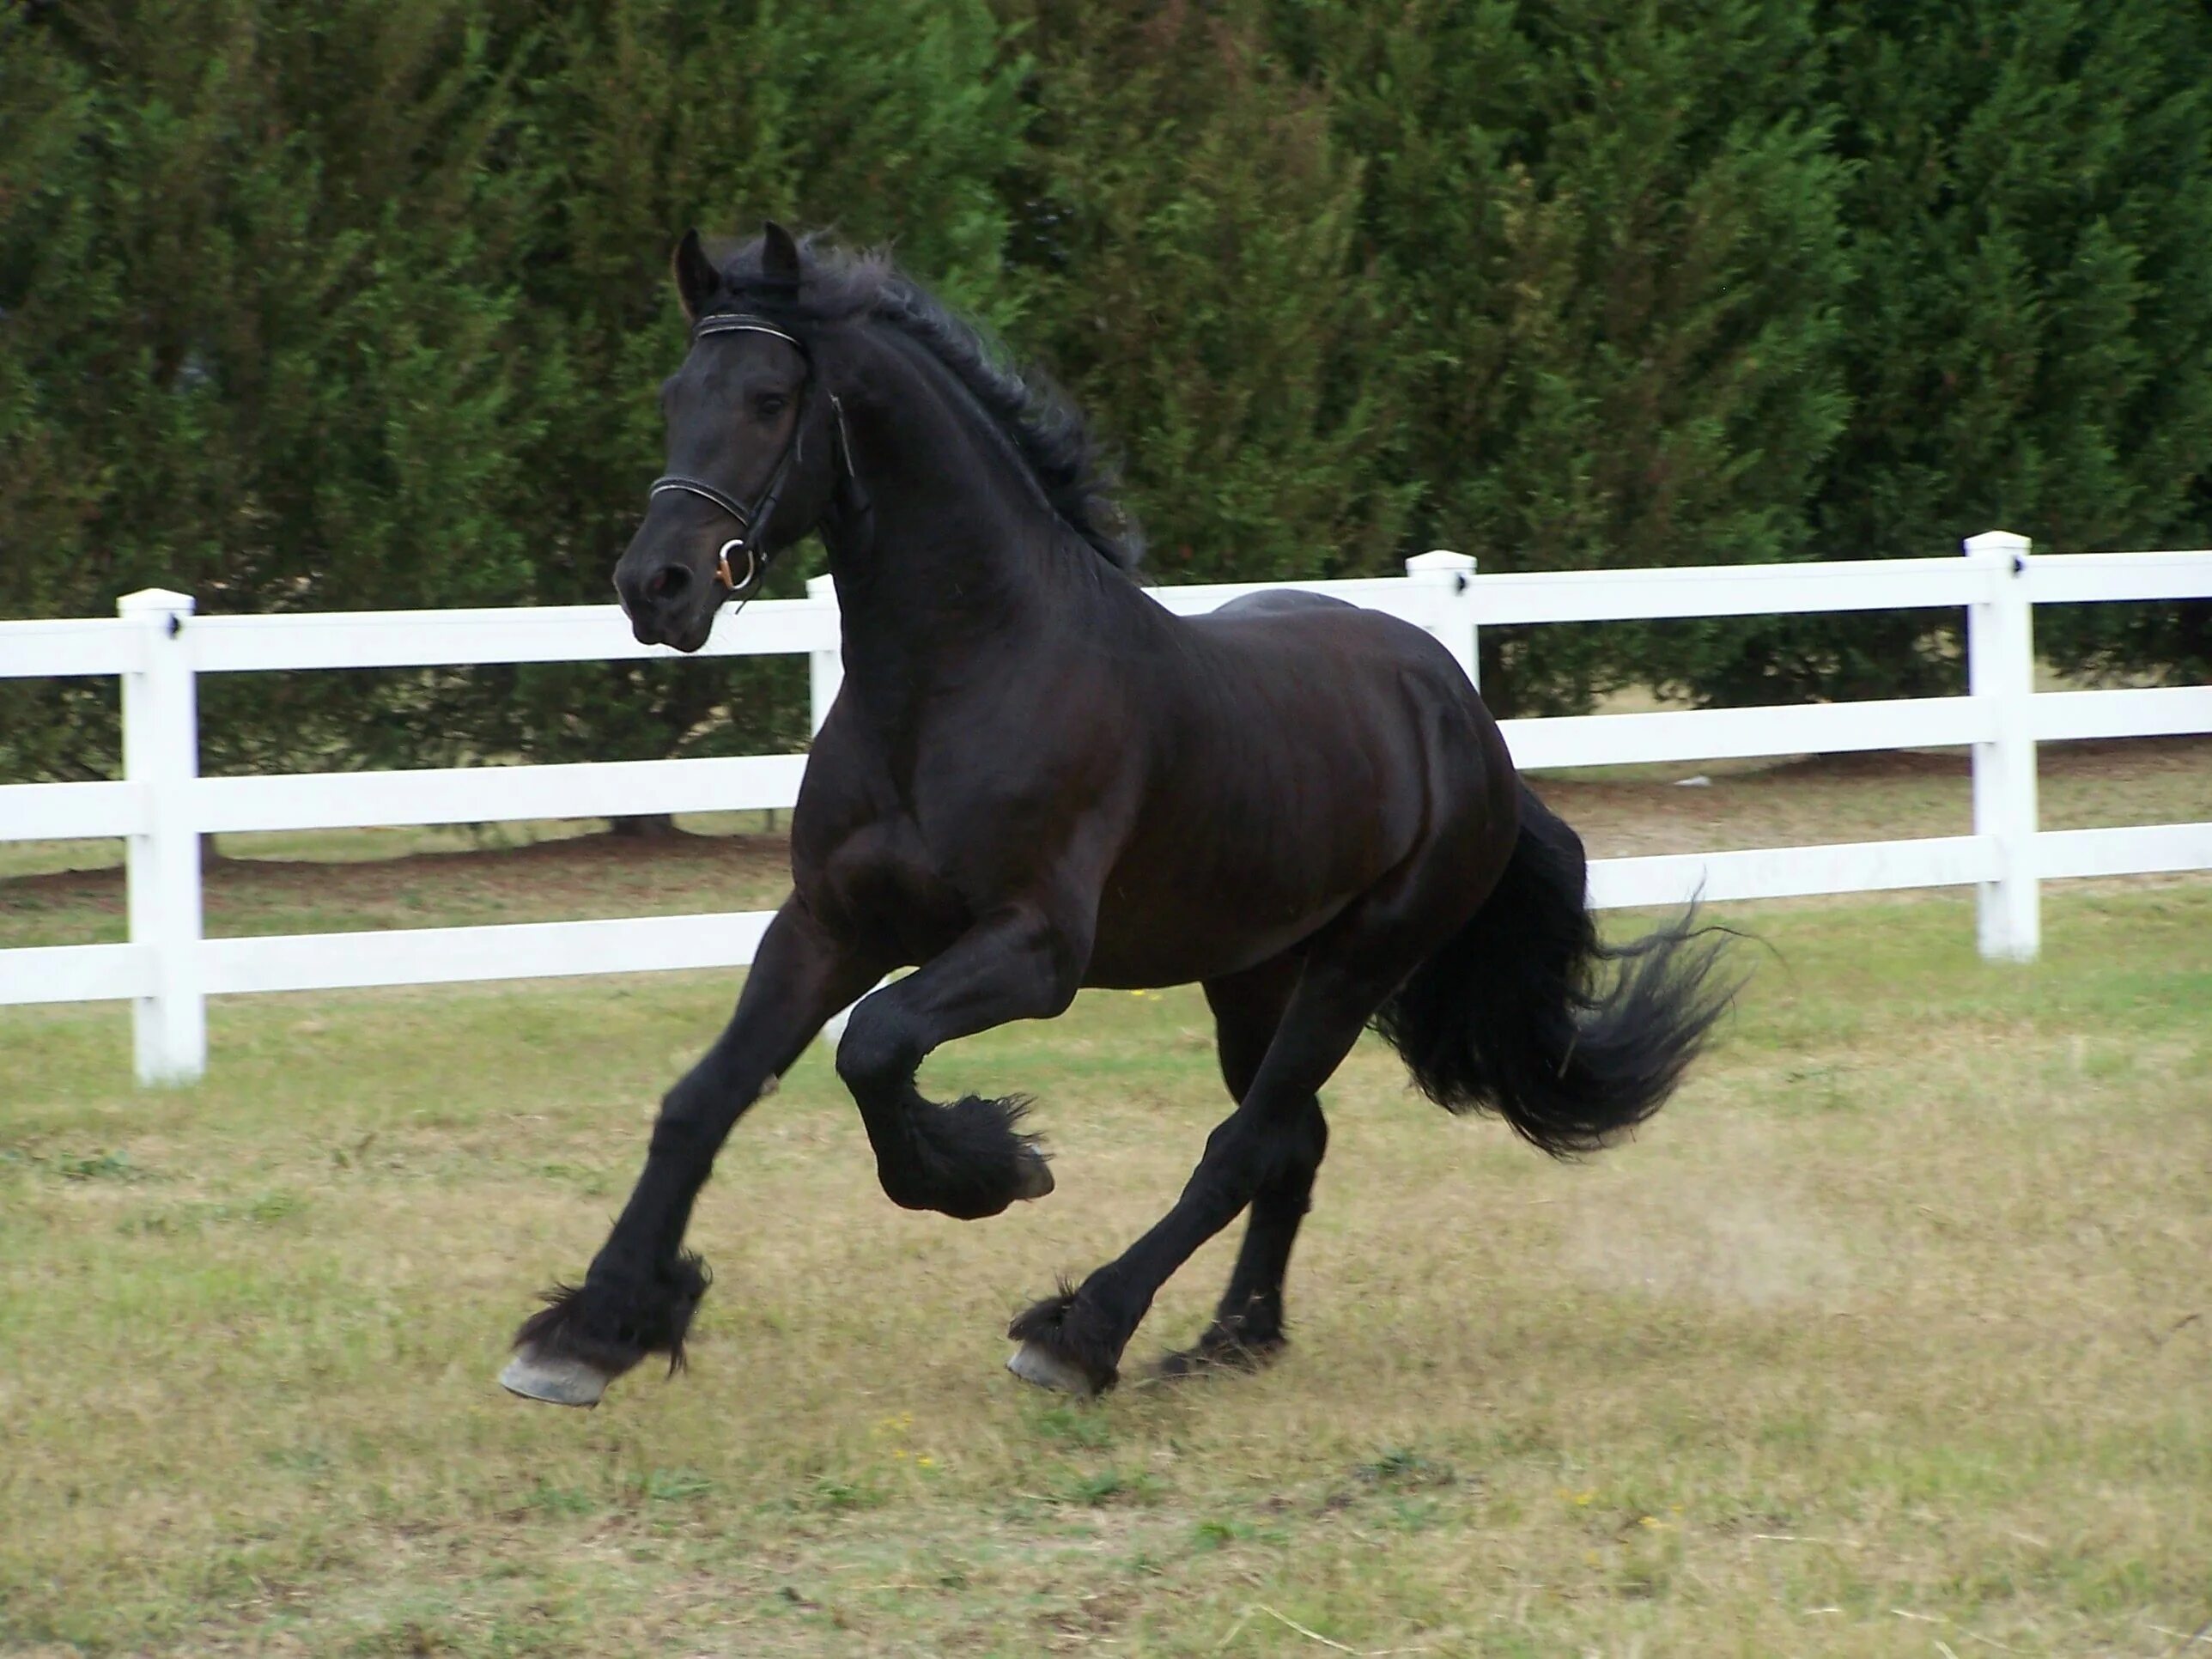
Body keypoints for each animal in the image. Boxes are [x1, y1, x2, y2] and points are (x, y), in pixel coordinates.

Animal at [497, 224, 1725, 1407]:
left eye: (766, 398)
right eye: (674, 395)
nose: (654, 587)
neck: (957, 678)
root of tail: (1462, 714)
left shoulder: (1035, 953)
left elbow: (876, 1045)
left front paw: (989, 1167)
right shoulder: (826, 928)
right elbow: (703, 1099)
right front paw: (591, 1333)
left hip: (1358, 964)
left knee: (1245, 1144)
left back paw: (1082, 1335)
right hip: (1252, 974)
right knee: (1291, 1144)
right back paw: (1229, 1342)